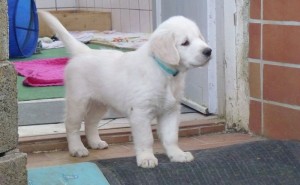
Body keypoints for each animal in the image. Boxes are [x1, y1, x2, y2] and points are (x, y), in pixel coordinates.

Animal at [38, 10, 211, 168]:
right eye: (185, 42)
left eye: (199, 38)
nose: (208, 51)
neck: (165, 72)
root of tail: (84, 52)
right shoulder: (140, 112)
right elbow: (146, 138)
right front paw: (147, 158)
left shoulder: (171, 110)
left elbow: (171, 136)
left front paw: (177, 154)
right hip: (78, 101)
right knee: (71, 125)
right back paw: (77, 148)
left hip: (99, 104)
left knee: (90, 122)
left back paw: (95, 142)